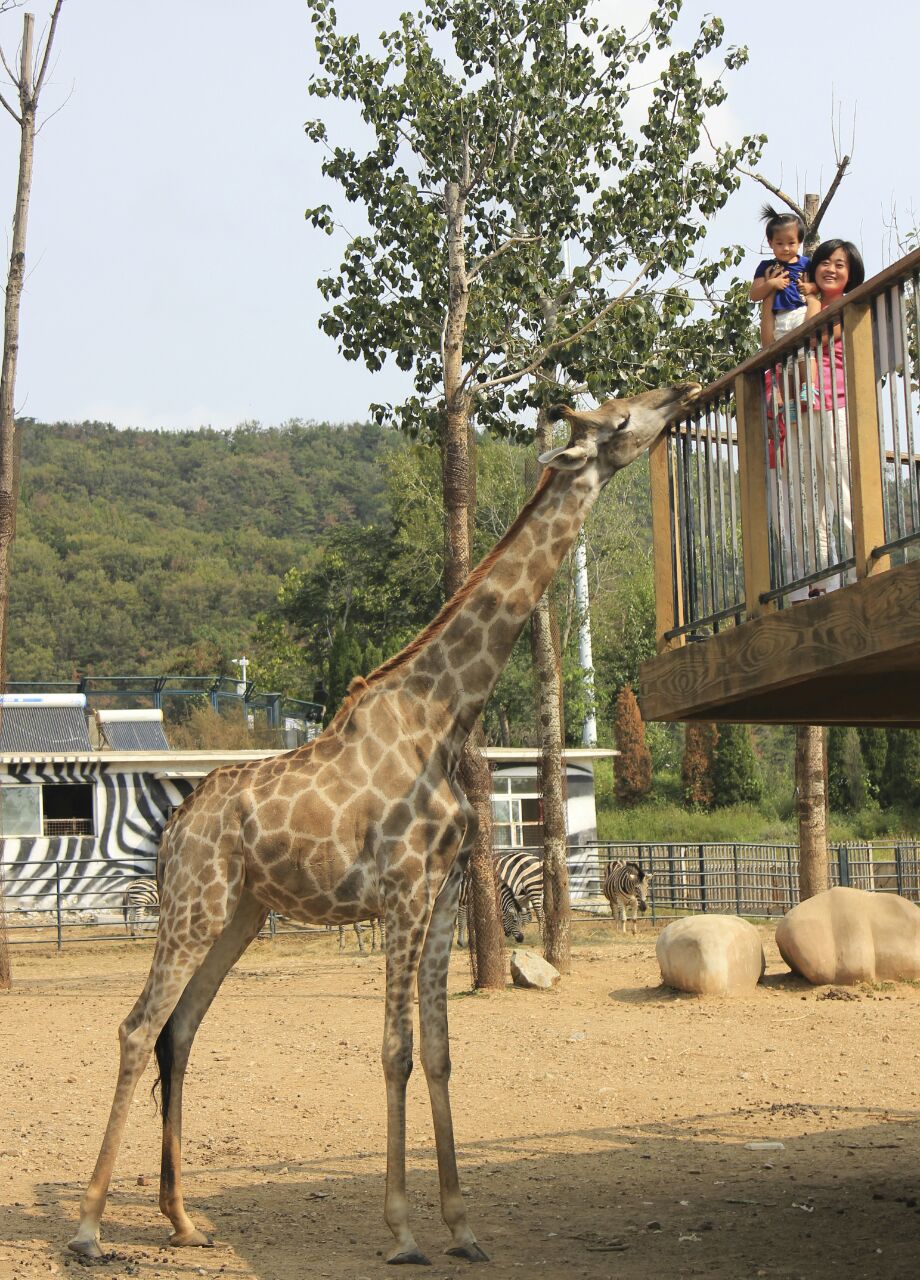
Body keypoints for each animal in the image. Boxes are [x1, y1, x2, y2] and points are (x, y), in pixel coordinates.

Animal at [66, 373, 696, 1264]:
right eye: (615, 419)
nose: (680, 389)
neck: (447, 716)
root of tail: (176, 826)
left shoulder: (443, 890)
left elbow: (438, 1050)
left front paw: (462, 1226)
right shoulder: (400, 886)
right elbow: (395, 1049)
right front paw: (402, 1231)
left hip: (239, 914)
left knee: (178, 1031)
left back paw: (185, 1221)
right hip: (194, 906)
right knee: (134, 1028)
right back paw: (89, 1229)